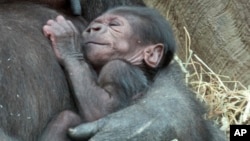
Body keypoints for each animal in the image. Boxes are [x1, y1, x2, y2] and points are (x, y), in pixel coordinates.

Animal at [40, 6, 175, 140]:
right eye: (95, 23)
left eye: (114, 24)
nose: (93, 28)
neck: (138, 64)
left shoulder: (117, 69)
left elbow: (101, 110)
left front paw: (67, 43)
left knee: (66, 117)